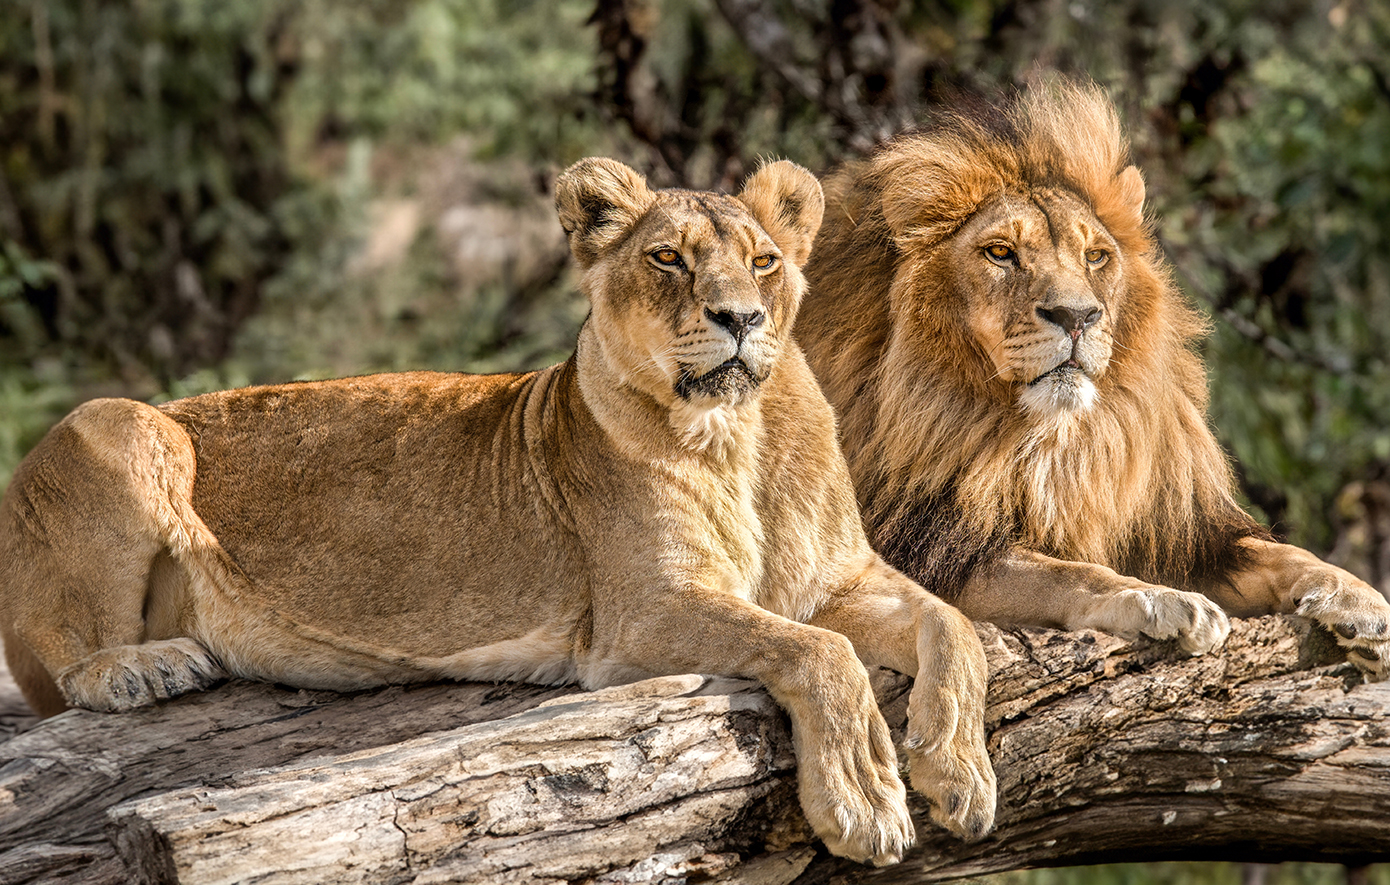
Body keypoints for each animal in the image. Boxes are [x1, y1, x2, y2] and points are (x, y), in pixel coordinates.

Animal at [2, 156, 1000, 861]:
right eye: (667, 257)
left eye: (764, 261)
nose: (740, 318)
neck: (738, 432)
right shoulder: (641, 618)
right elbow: (819, 651)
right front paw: (866, 800)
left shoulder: (840, 578)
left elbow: (955, 627)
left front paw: (958, 773)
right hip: (119, 421)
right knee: (61, 666)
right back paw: (146, 666)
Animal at [795, 84, 1390, 675]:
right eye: (1000, 253)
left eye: (1096, 256)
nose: (1077, 315)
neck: (1052, 441)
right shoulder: (927, 547)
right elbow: (1064, 573)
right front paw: (1158, 598)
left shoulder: (1178, 532)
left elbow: (1282, 553)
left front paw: (1362, 601)